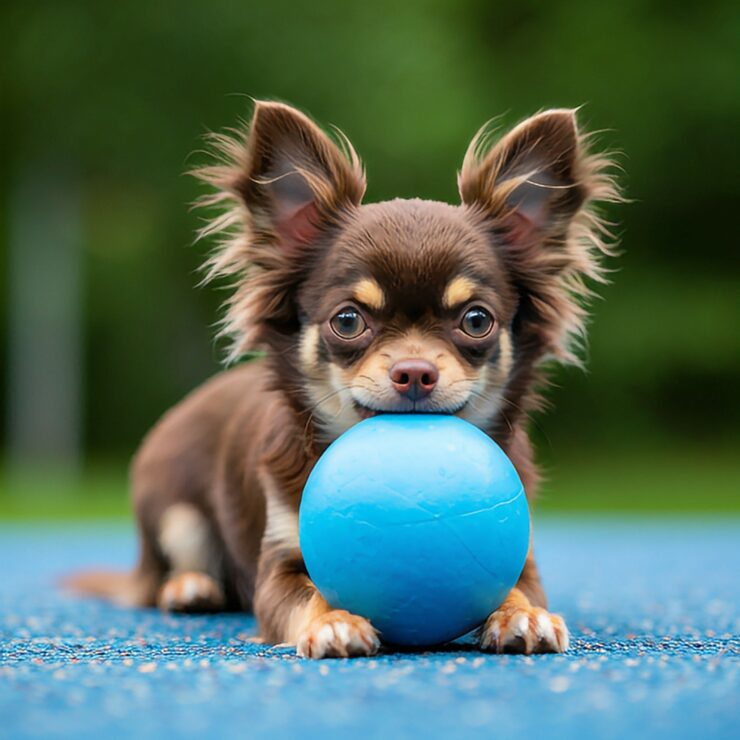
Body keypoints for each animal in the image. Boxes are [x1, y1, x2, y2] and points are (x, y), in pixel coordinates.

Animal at [75, 99, 620, 660]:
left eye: (476, 320)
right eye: (348, 320)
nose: (414, 372)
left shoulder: (523, 558)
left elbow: (516, 588)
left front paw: (522, 615)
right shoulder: (279, 565)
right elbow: (309, 595)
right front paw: (333, 621)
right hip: (175, 514)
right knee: (171, 570)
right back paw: (190, 588)